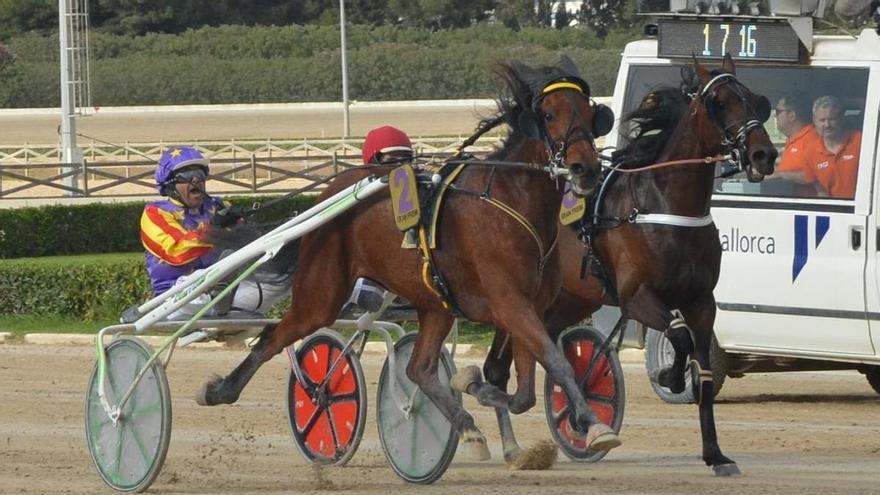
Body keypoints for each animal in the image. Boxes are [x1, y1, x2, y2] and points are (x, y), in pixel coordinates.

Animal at [195, 56, 624, 460]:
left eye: (591, 114)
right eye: (549, 114)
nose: (585, 168)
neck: (513, 204)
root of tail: (329, 194)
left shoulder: (529, 305)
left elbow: (525, 390)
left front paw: (476, 387)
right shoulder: (510, 304)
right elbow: (555, 362)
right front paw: (594, 425)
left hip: (435, 304)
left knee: (419, 368)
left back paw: (467, 427)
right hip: (321, 295)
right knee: (274, 335)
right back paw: (221, 390)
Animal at [460, 55, 776, 476]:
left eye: (756, 100)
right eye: (720, 103)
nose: (763, 155)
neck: (663, 206)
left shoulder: (702, 302)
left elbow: (705, 372)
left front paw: (715, 454)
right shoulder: (636, 297)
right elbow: (678, 337)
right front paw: (669, 375)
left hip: (567, 300)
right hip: (517, 296)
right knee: (499, 366)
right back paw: (511, 438)